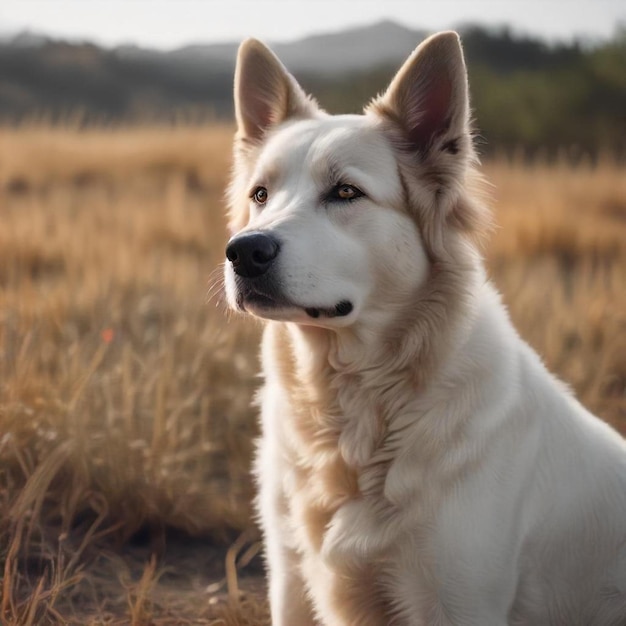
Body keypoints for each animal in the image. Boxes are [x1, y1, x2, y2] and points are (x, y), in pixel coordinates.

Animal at [221, 30, 624, 624]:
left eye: (345, 192)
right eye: (260, 195)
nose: (243, 253)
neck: (354, 406)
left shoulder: (455, 599)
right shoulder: (291, 581)